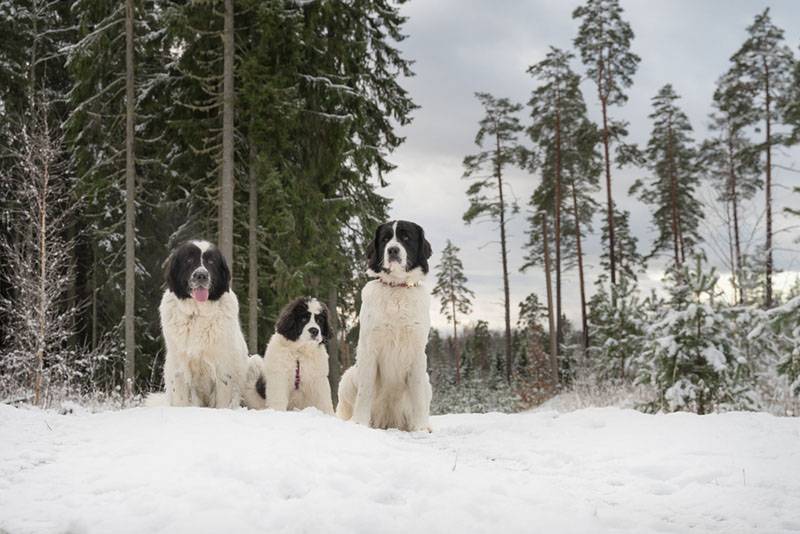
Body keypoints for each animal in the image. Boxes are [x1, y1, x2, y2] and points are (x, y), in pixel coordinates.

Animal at [334, 220, 434, 434]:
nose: (393, 250)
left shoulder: (417, 352)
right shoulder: (369, 348)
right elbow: (365, 391)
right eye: (386, 239)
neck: (397, 288)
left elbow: (418, 397)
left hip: (427, 381)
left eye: (406, 237)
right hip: (348, 377)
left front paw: (421, 427)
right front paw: (359, 423)